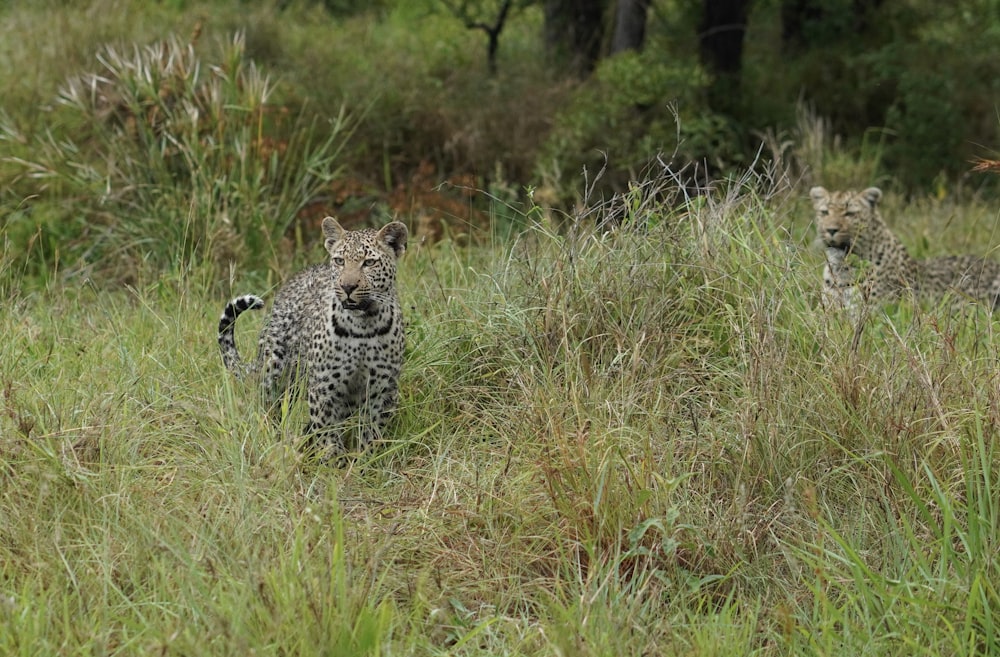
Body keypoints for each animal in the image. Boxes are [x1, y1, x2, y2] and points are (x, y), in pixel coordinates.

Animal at [217, 218, 408, 458]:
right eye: (339, 261)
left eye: (369, 262)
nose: (347, 286)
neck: (363, 326)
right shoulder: (324, 387)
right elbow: (327, 435)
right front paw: (332, 464)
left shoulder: (382, 388)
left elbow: (372, 434)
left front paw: (366, 461)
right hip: (274, 372)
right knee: (270, 410)